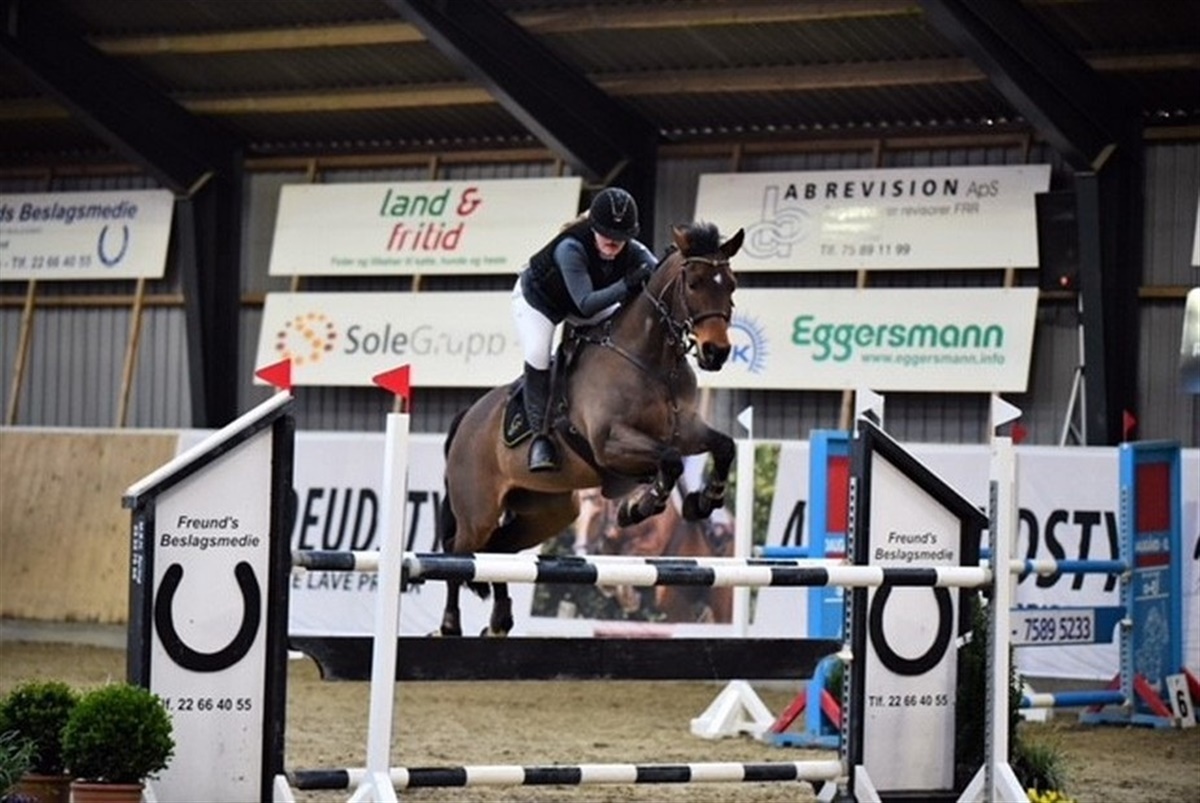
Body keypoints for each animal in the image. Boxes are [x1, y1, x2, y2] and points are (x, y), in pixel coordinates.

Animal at [437, 220, 744, 636]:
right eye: (693, 283)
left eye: (731, 284)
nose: (716, 352)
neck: (652, 361)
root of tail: (467, 417)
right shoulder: (609, 443)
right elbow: (669, 461)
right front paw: (638, 506)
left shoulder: (687, 430)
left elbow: (724, 446)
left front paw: (705, 499)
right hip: (478, 512)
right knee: (460, 554)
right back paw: (451, 624)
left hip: (547, 510)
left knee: (496, 550)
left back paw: (499, 621)